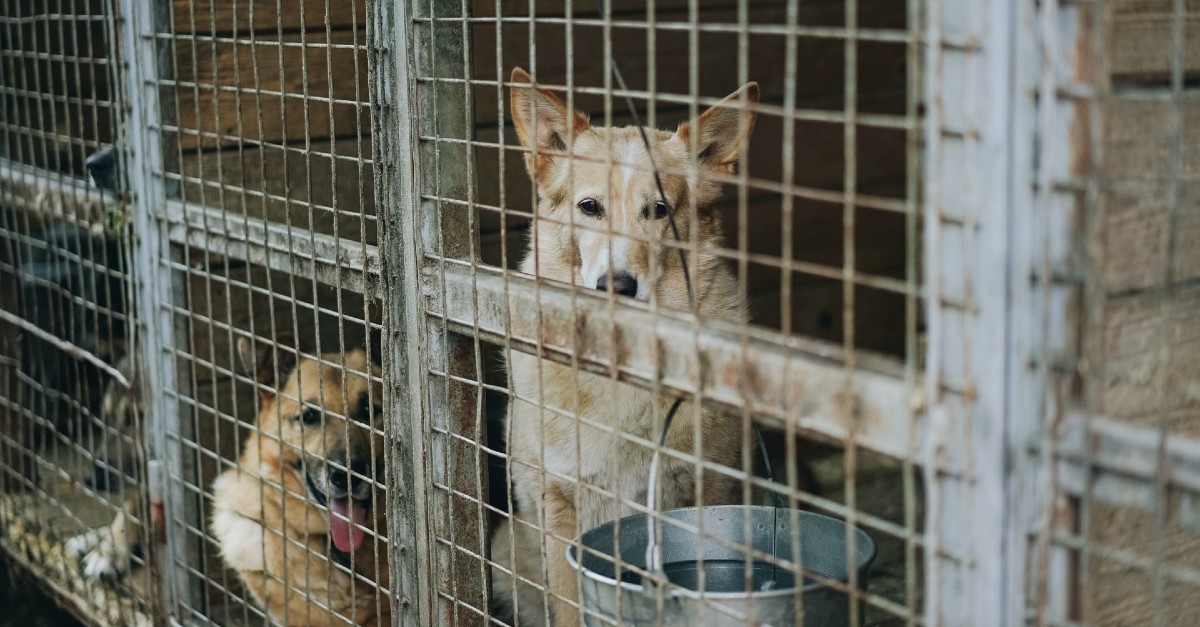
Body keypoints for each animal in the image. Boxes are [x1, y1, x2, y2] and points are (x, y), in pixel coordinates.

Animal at [496, 68, 758, 624]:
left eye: (657, 210)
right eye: (589, 207)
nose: (615, 285)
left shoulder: (701, 493)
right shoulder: (558, 503)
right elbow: (569, 607)